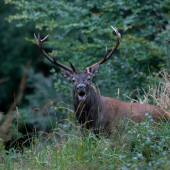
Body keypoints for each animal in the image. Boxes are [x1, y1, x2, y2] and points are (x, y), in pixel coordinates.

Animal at [33, 26, 170, 135]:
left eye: (89, 78)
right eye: (73, 80)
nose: (81, 87)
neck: (90, 118)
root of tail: (167, 114)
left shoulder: (108, 131)